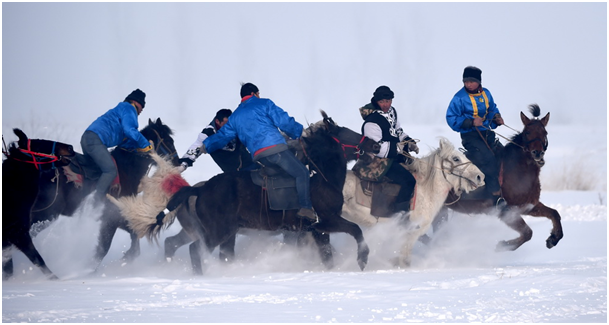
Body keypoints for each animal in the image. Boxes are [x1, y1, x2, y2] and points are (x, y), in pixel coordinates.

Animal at [2, 128, 75, 280]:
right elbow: (38, 260)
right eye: (40, 146)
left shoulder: (8, 239)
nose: (70, 148)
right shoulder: (17, 233)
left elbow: (8, 269)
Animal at [30, 117, 178, 270]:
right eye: (169, 141)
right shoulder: (110, 218)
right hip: (45, 214)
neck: (126, 169)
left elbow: (133, 239)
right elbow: (103, 249)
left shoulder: (117, 216)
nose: (177, 161)